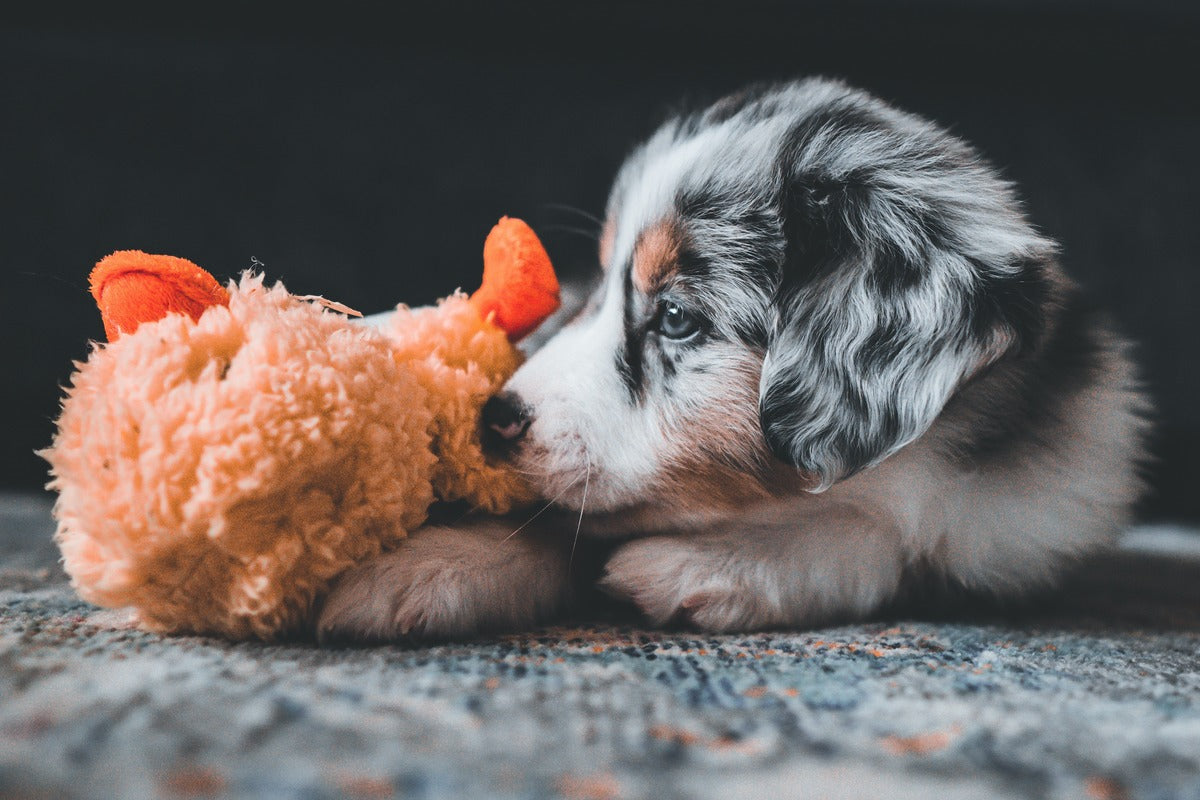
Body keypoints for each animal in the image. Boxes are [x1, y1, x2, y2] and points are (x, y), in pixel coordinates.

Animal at [321, 79, 1152, 642]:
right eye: (602, 288)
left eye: (676, 318)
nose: (493, 419)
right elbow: (553, 519)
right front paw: (423, 566)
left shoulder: (1024, 517)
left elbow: (887, 535)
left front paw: (713, 564)